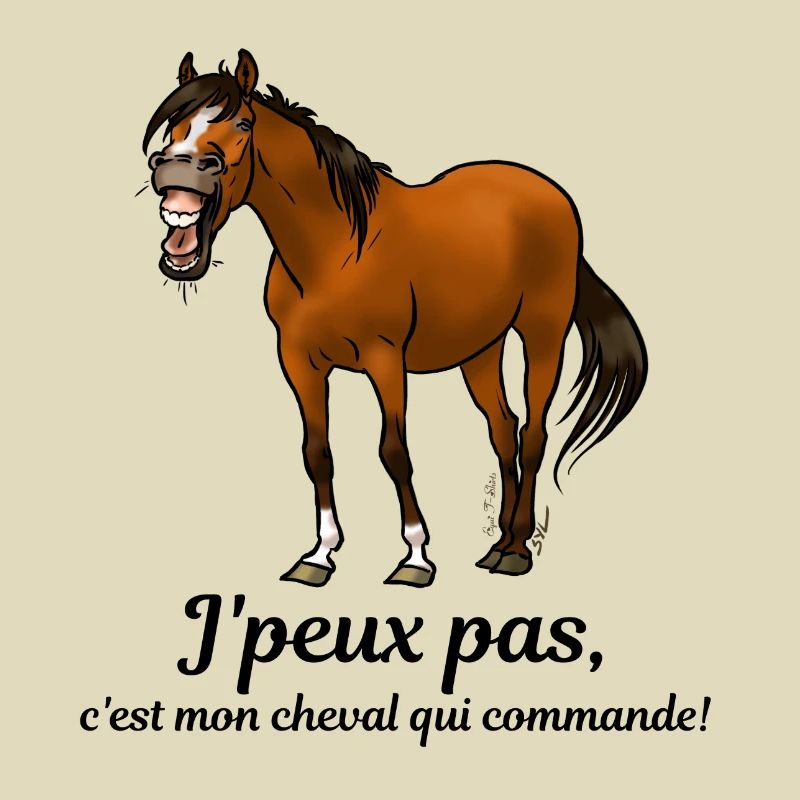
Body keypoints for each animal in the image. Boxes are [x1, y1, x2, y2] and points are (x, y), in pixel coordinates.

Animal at [143, 49, 648, 588]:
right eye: (175, 125)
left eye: (241, 122)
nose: (175, 167)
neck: (336, 250)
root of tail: (552, 194)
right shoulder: (300, 363)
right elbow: (317, 453)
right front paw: (319, 555)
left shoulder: (384, 360)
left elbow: (394, 452)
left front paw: (416, 558)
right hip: (481, 349)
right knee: (503, 428)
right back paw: (499, 544)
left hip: (542, 332)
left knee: (532, 433)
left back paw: (517, 552)